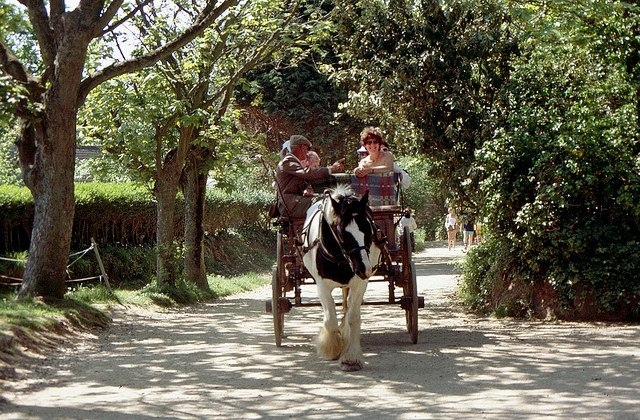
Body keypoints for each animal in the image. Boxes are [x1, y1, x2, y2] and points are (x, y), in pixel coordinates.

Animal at [300, 185, 380, 370]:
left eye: (368, 229)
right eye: (343, 233)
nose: (365, 268)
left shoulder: (360, 284)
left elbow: (353, 318)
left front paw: (351, 357)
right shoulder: (322, 286)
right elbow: (330, 321)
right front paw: (332, 347)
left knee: (347, 307)